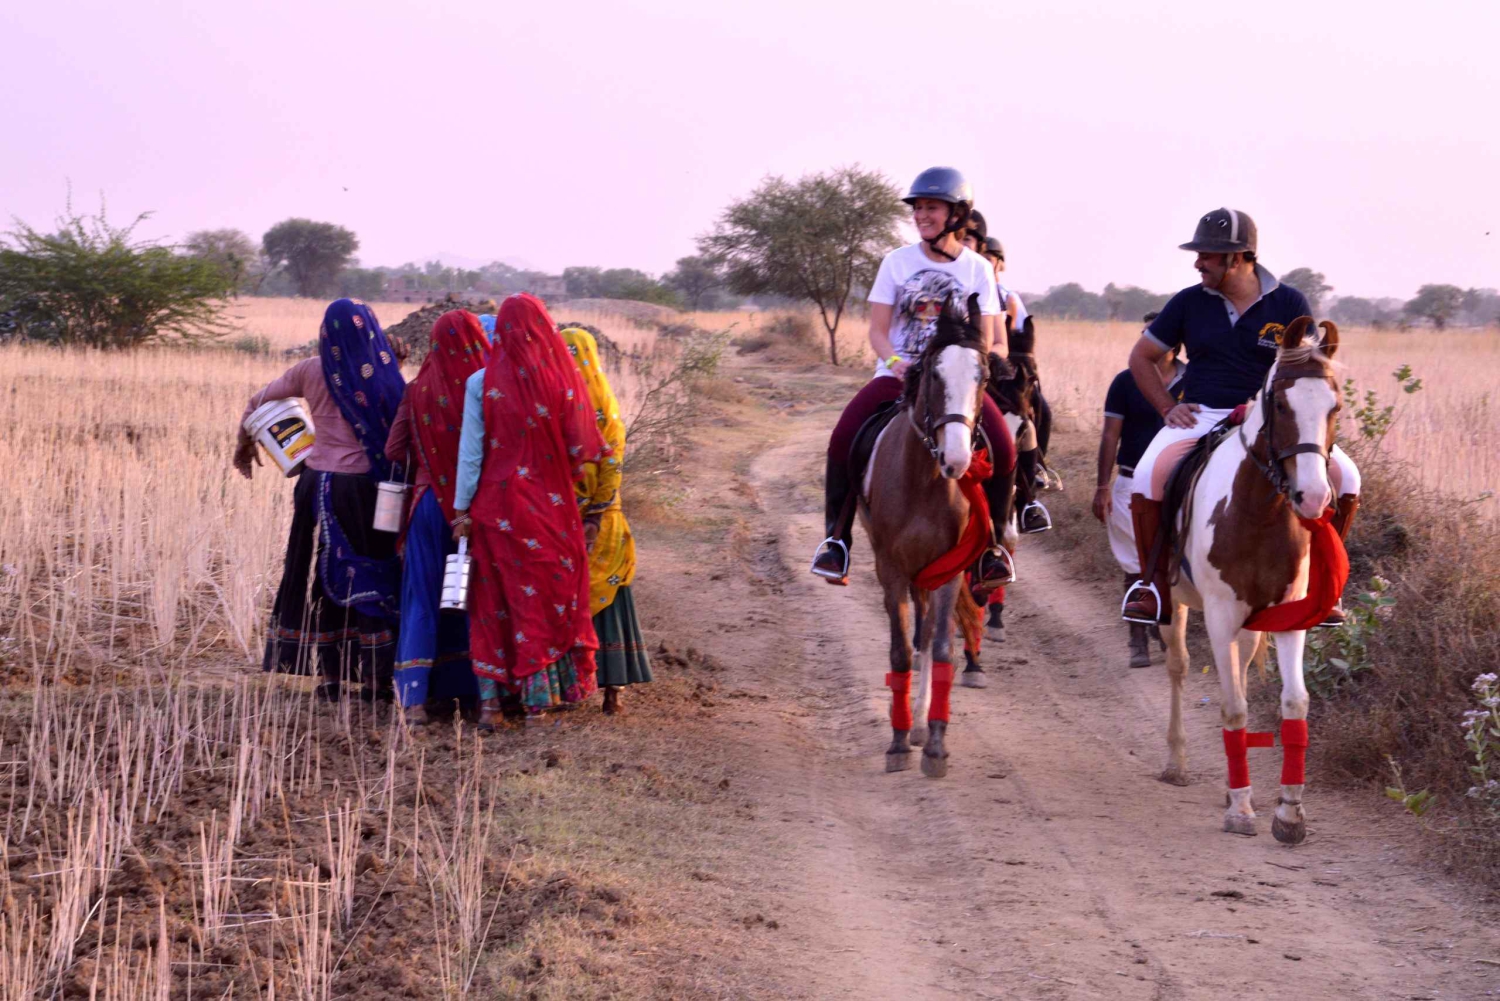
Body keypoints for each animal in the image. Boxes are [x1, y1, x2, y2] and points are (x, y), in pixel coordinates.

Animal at [860, 293, 993, 778]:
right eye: (934, 373)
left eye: (984, 375)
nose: (957, 459)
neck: (925, 478)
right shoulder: (891, 569)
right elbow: (900, 651)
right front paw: (898, 743)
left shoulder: (949, 568)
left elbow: (940, 650)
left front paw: (935, 746)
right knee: (915, 637)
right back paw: (910, 728)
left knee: (929, 635)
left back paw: (921, 726)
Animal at [1155, 316, 1347, 843]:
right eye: (1281, 404)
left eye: (1335, 407)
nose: (1314, 498)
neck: (1262, 510)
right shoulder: (1220, 614)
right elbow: (1234, 707)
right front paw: (1241, 809)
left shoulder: (1289, 616)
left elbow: (1295, 704)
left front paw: (1289, 812)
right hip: (1174, 603)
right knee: (1178, 666)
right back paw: (1177, 762)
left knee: (1238, 667)